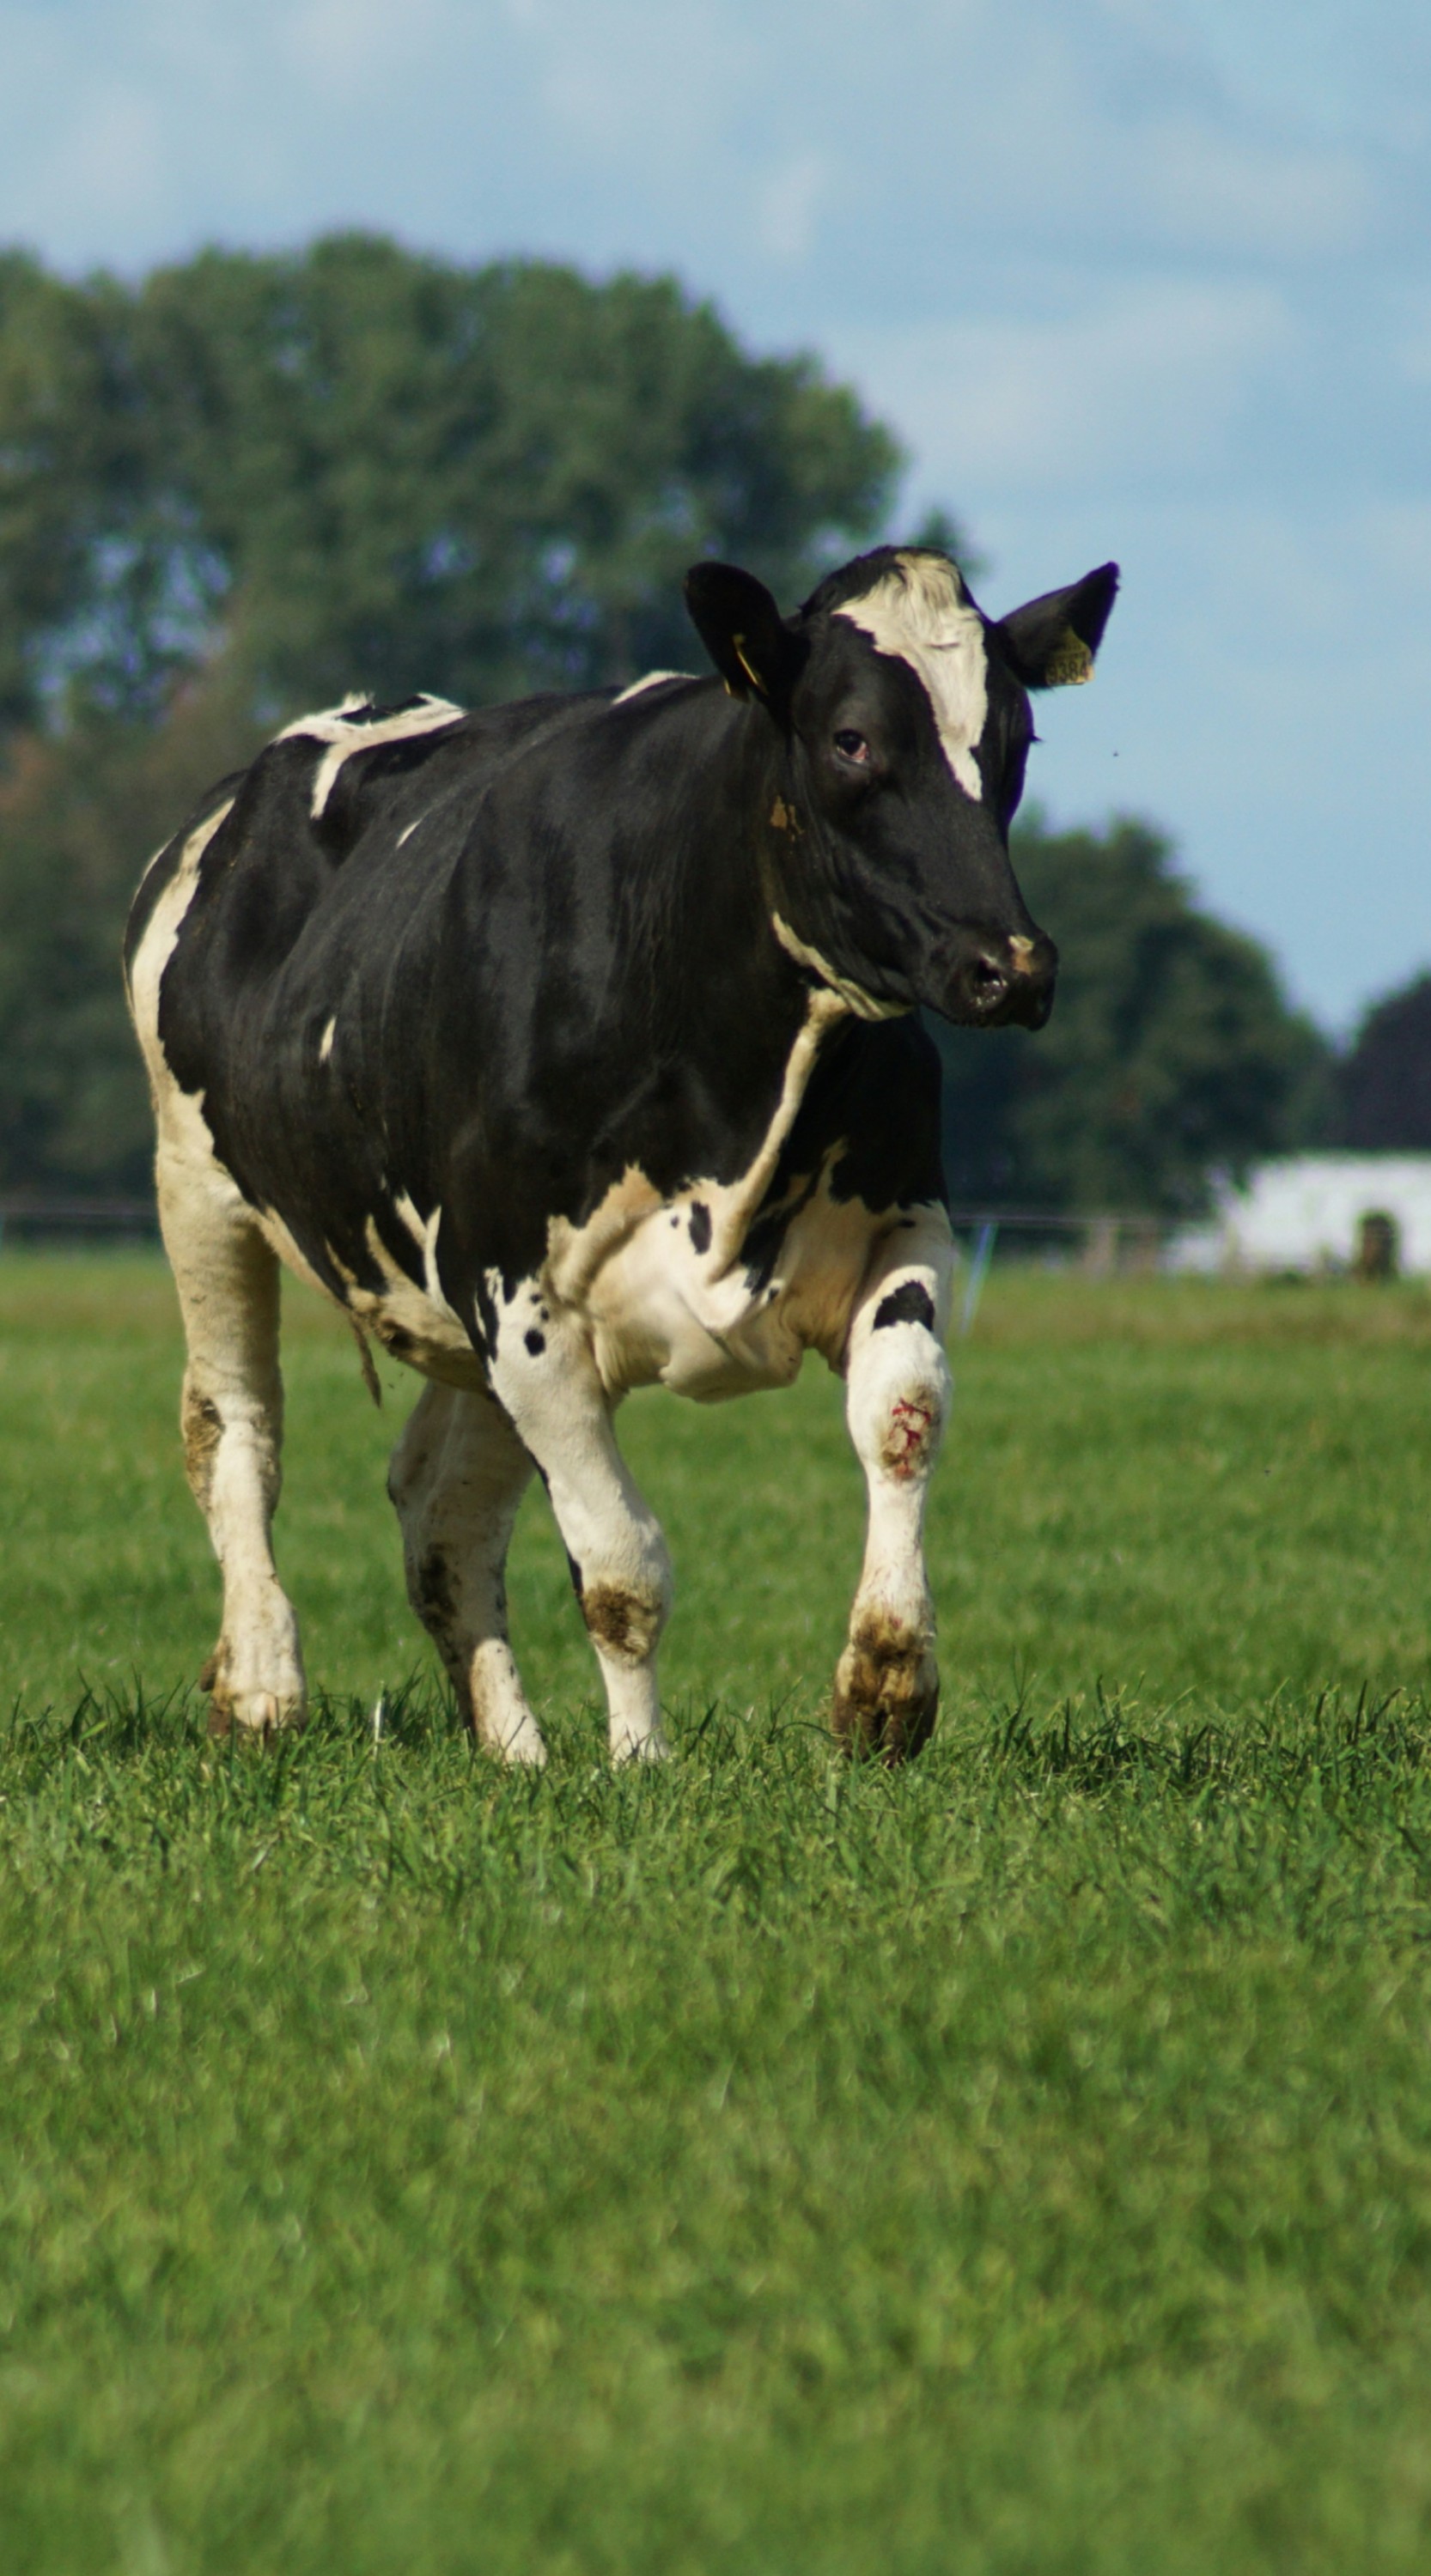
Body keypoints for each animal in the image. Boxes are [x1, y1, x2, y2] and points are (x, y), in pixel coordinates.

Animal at [125, 544, 1117, 1766]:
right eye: (850, 739)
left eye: (1016, 740)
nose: (1009, 966)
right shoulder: (519, 1297)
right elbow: (619, 1570)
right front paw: (641, 1766)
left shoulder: (902, 1220)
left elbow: (904, 1416)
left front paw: (885, 1684)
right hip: (199, 1190)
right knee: (235, 1432)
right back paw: (264, 1689)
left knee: (440, 1509)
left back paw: (514, 1749)